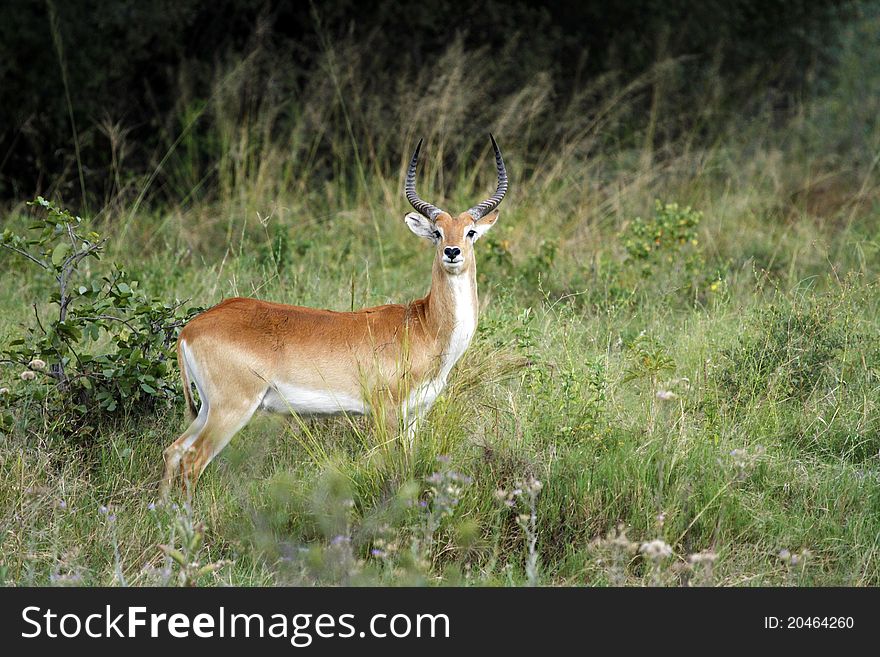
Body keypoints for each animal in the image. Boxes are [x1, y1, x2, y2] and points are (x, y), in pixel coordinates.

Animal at [158, 133, 508, 494]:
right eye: (437, 232)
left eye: (470, 232)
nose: (452, 252)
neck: (424, 326)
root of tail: (190, 329)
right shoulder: (384, 412)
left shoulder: (415, 416)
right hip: (231, 409)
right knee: (191, 462)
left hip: (207, 409)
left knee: (172, 451)